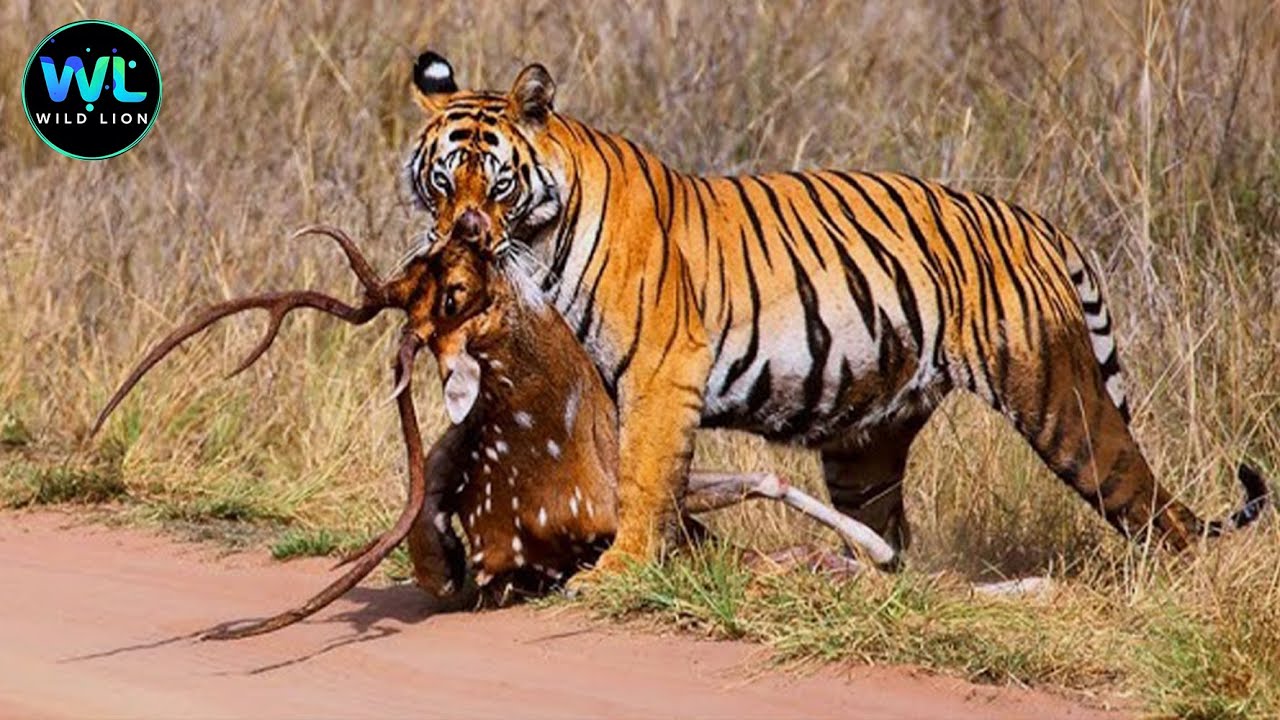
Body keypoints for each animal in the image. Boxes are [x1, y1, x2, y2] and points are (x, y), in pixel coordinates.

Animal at [399, 50, 1269, 578]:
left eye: (497, 181)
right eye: (443, 180)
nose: (464, 235)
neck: (541, 238)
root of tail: (1035, 221)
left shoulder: (660, 370)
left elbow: (644, 476)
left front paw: (620, 570)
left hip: (1061, 402)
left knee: (1154, 506)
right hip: (867, 444)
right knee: (893, 539)